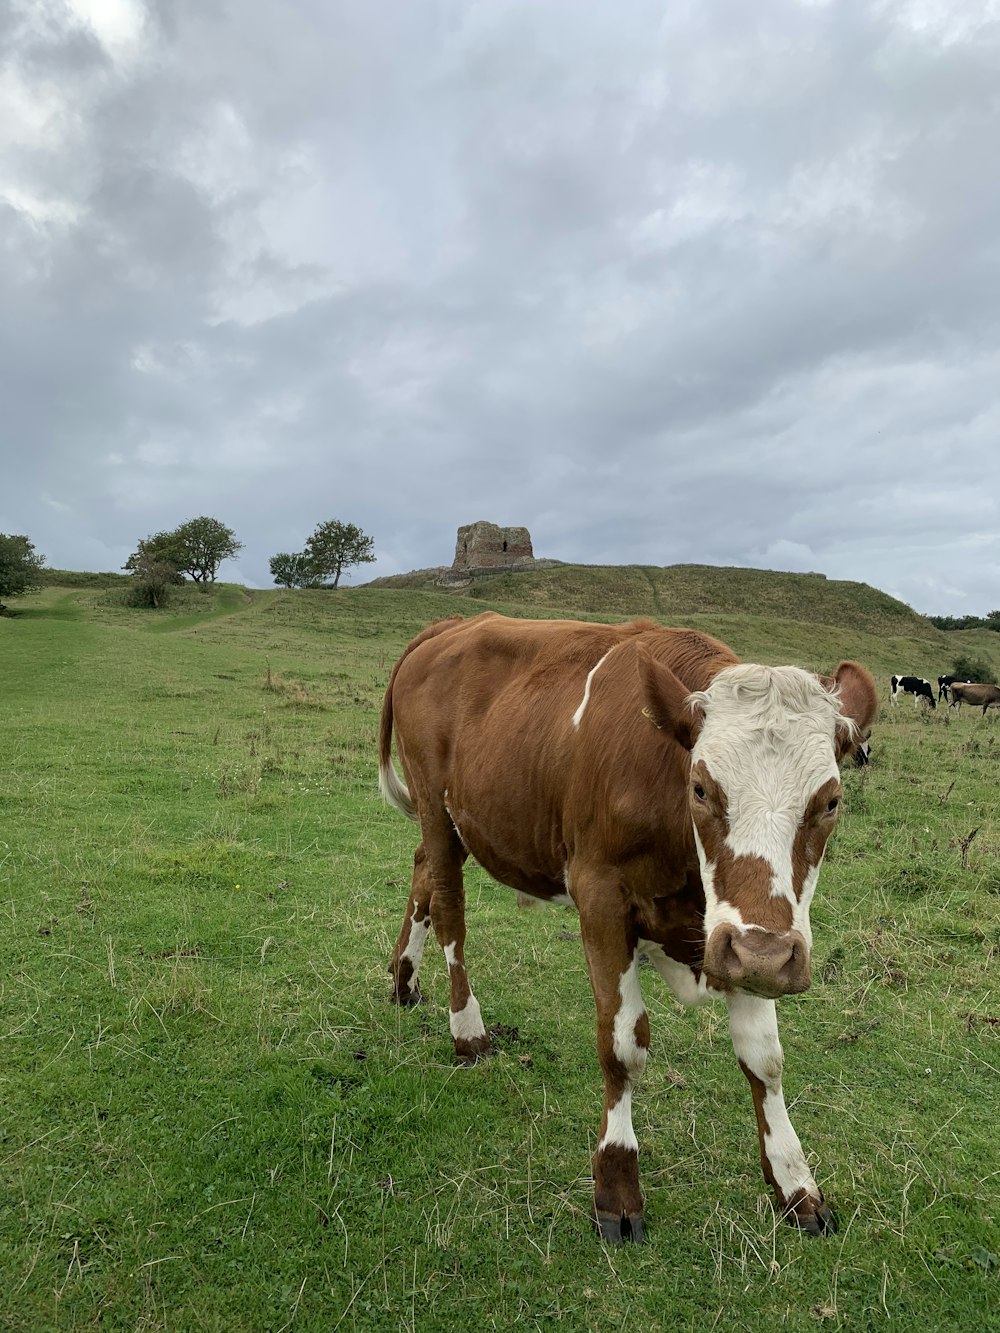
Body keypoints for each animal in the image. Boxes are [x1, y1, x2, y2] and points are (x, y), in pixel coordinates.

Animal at [378, 610, 880, 1237]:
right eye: (700, 789)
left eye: (830, 801)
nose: (766, 956)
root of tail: (454, 624)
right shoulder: (601, 900)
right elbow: (622, 1044)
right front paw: (617, 1187)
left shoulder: (739, 941)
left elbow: (764, 1057)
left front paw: (795, 1184)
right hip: (436, 810)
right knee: (448, 909)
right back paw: (466, 1030)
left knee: (421, 870)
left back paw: (403, 980)